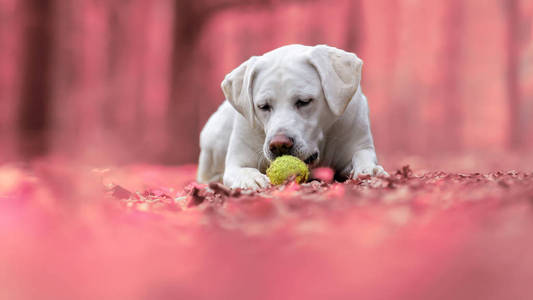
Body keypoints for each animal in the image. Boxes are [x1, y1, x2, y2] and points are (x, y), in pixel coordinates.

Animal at [197, 44, 384, 190]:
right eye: (263, 106)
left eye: (304, 101)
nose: (279, 144)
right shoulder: (237, 161)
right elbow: (242, 170)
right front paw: (250, 179)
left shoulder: (358, 142)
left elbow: (361, 155)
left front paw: (370, 169)